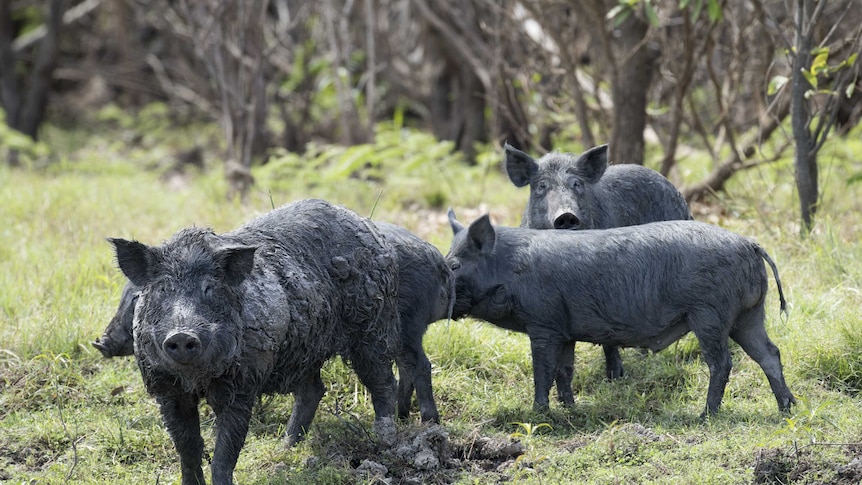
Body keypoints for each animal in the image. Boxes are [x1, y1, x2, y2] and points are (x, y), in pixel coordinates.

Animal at [96, 222, 454, 425]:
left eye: (135, 299)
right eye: (150, 295)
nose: (100, 342)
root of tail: (438, 260)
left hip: (391, 328)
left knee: (411, 367)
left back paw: (419, 425)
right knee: (316, 389)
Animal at [108, 199, 401, 485]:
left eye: (209, 288)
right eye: (163, 289)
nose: (182, 335)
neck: (196, 380)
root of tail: (367, 226)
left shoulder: (242, 385)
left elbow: (225, 453)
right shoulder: (166, 389)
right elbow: (187, 448)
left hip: (371, 326)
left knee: (383, 381)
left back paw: (386, 440)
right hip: (305, 349)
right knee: (314, 390)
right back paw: (286, 448)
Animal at [446, 210, 795, 417]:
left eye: (454, 265)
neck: (509, 270)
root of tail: (749, 243)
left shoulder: (543, 324)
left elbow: (542, 371)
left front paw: (539, 413)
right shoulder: (564, 330)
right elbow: (564, 371)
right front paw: (571, 409)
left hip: (709, 314)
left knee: (722, 362)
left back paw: (705, 415)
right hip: (748, 315)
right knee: (770, 353)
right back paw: (788, 408)